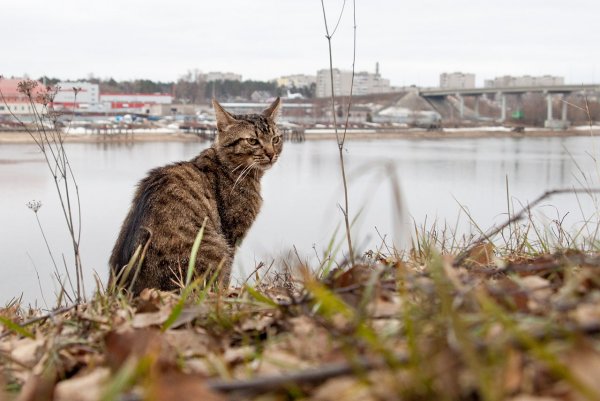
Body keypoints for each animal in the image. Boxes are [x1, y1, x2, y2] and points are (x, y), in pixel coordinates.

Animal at [109, 97, 282, 294]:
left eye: (276, 139)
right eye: (252, 141)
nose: (271, 154)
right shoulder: (232, 236)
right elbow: (227, 275)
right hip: (215, 250)